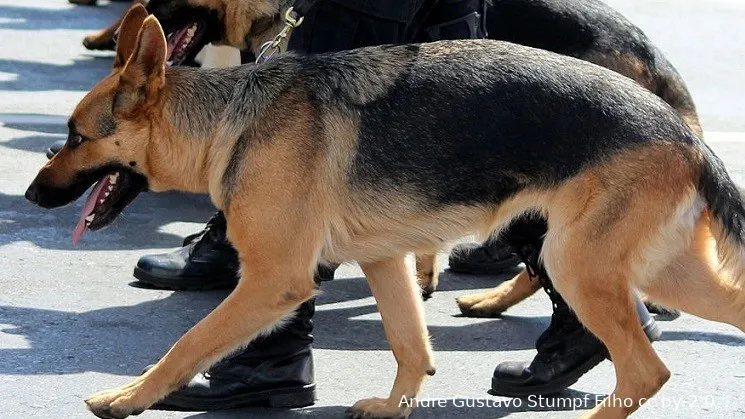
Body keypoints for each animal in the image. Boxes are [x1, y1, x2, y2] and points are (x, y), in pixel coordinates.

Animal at [26, 5, 740, 419]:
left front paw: (129, 397)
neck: (233, 118)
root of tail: (683, 133)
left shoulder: (274, 279)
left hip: (576, 263)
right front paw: (394, 408)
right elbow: (410, 345)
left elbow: (189, 342)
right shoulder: (383, 261)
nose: (31, 197)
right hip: (657, 270)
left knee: (644, 368)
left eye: (76, 138)